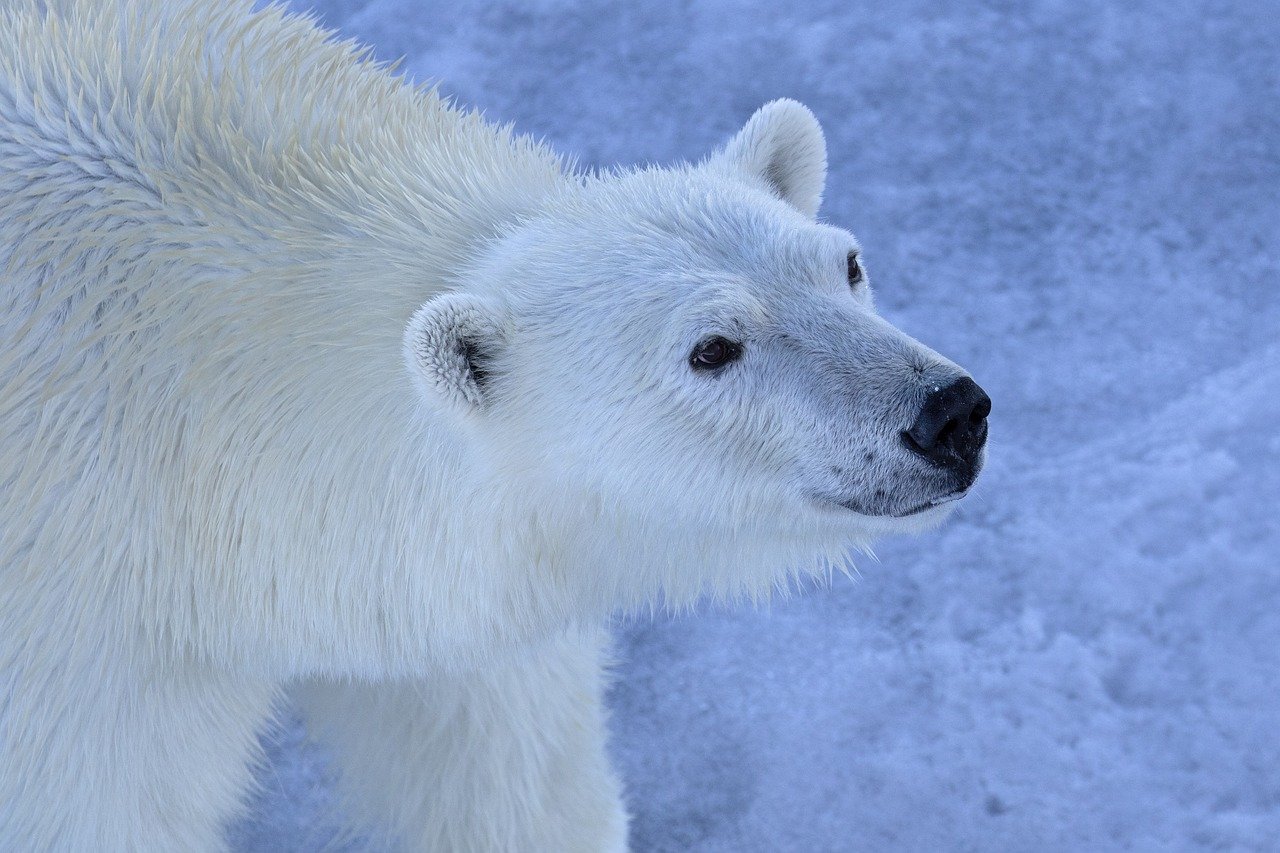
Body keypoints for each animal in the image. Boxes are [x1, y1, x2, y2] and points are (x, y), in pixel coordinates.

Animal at [0, 1, 988, 850]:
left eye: (846, 265)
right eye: (712, 347)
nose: (948, 414)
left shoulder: (446, 587)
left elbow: (507, 777)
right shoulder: (80, 647)